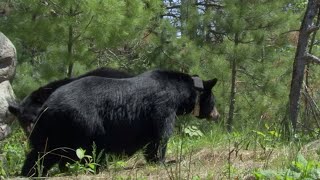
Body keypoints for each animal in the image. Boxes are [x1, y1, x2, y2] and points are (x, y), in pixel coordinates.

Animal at [21, 69, 219, 176]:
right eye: (214, 102)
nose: (217, 115)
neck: (181, 93)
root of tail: (48, 105)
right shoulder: (163, 106)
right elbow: (160, 135)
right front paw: (165, 160)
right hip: (82, 121)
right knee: (87, 149)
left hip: (50, 128)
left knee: (40, 153)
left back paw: (30, 172)